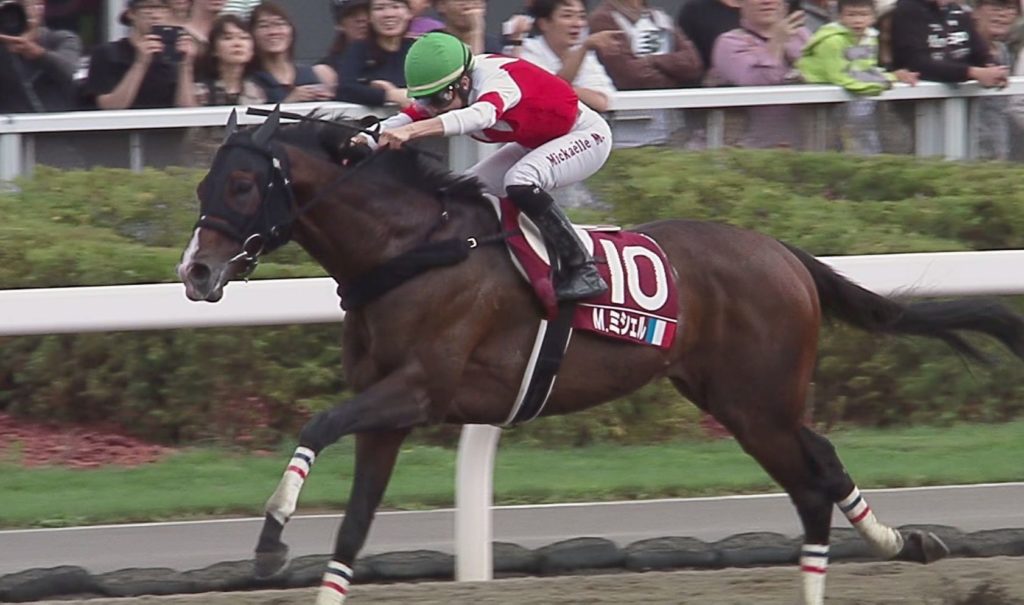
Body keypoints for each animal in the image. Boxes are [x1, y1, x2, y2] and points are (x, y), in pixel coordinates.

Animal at [180, 110, 1024, 605]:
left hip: (758, 401)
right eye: (203, 184)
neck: (411, 249)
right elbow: (352, 531)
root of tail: (783, 251)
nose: (196, 272)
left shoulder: (419, 390)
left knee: (815, 481)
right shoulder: (388, 414)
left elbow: (317, 424)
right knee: (819, 470)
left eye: (245, 183)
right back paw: (899, 542)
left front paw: (269, 540)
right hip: (741, 400)